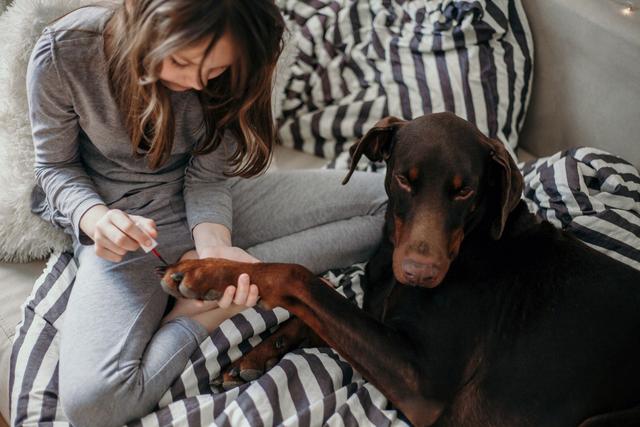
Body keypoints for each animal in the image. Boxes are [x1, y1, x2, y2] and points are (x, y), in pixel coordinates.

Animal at [159, 112, 640, 426]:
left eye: (464, 191)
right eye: (405, 179)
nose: (419, 272)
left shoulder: (420, 381)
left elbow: (300, 276)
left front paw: (206, 273)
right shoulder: (377, 319)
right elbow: (319, 311)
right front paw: (256, 355)